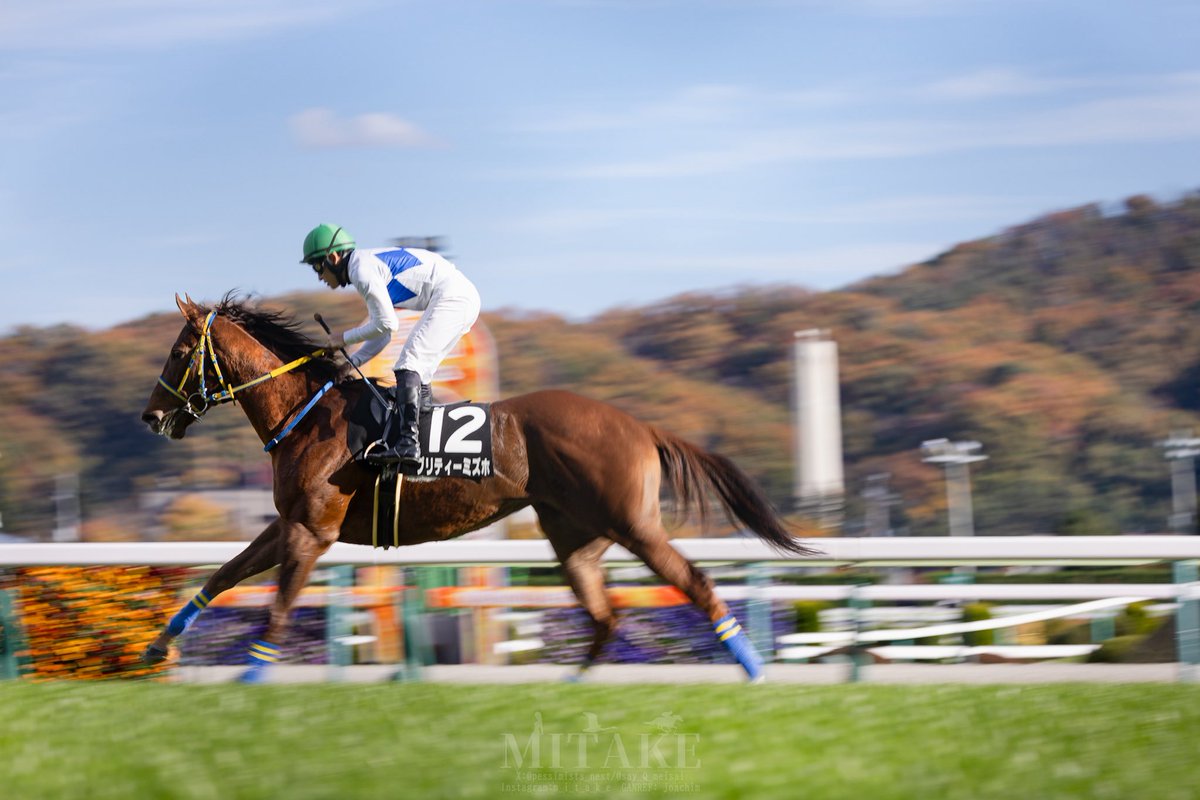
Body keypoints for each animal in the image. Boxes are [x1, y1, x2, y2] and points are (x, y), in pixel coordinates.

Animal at [139, 293, 817, 682]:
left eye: (179, 351)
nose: (151, 416)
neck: (306, 415)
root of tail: (639, 424)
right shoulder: (289, 525)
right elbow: (224, 575)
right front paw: (157, 647)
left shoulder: (311, 531)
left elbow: (277, 609)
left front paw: (250, 682)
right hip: (574, 536)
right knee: (604, 614)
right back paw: (570, 689)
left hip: (633, 526)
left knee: (694, 583)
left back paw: (753, 670)